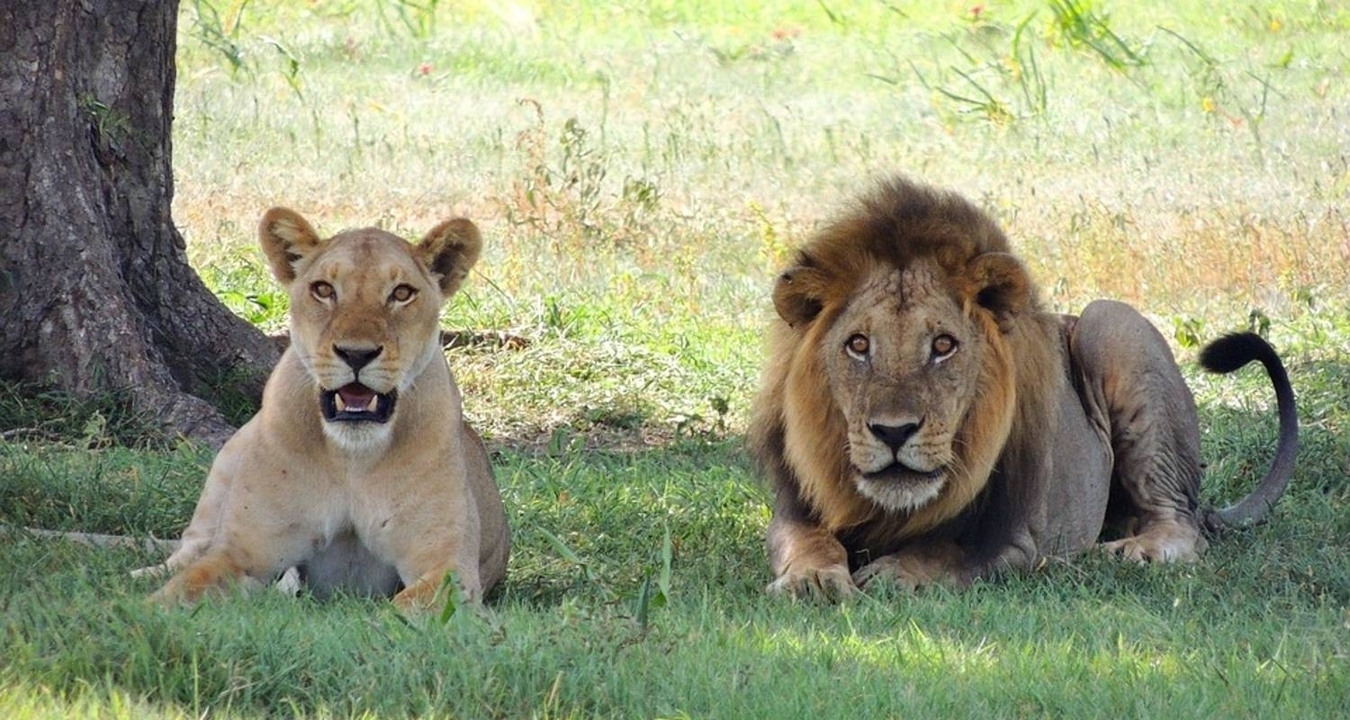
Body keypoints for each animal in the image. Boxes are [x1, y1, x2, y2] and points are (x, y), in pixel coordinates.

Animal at [146, 208, 510, 612]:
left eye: (401, 293)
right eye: (324, 289)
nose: (356, 354)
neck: (352, 457)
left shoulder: (448, 568)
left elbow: (403, 610)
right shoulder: (241, 552)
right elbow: (179, 591)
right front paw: (136, 611)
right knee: (186, 550)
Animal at [749, 176, 1298, 600]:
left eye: (943, 345)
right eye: (859, 345)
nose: (893, 432)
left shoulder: (1019, 537)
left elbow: (948, 550)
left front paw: (896, 573)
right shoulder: (794, 510)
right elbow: (807, 542)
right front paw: (813, 579)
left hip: (1111, 324)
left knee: (1182, 526)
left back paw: (1128, 552)